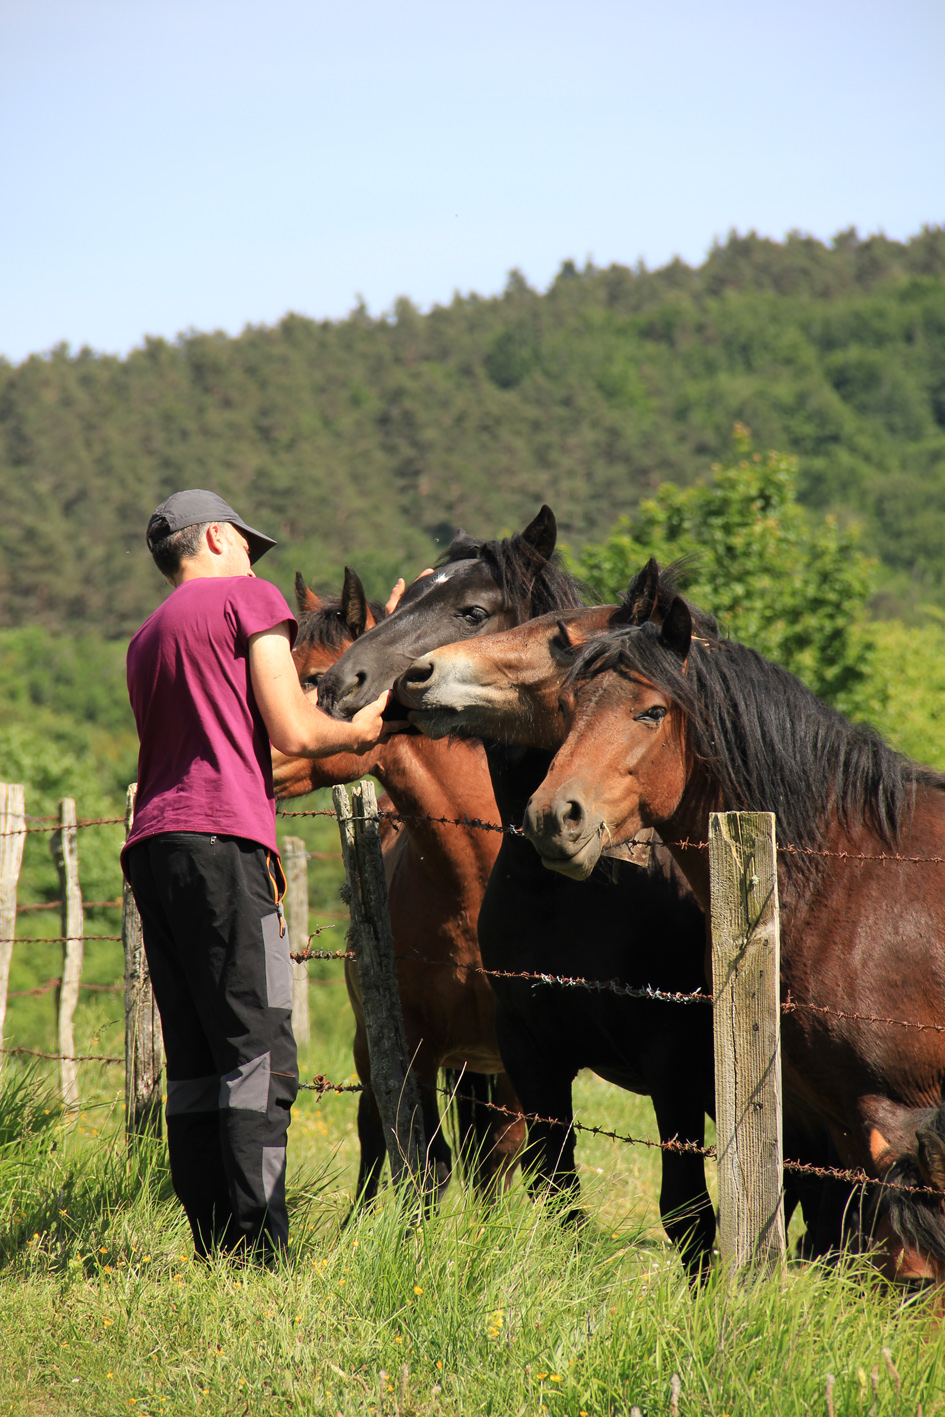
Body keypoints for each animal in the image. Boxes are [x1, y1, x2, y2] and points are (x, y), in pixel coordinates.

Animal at [273, 568, 525, 1208]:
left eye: (315, 678)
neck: (473, 884)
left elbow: (499, 1156)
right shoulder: (413, 1049)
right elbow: (426, 1161)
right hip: (374, 1044)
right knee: (375, 1130)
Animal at [318, 536, 723, 1278]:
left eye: (473, 610)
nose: (343, 683)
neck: (577, 896)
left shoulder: (670, 1060)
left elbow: (685, 1212)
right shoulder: (522, 1053)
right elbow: (547, 1188)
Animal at [521, 593, 945, 1285]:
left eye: (652, 711)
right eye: (570, 707)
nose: (553, 817)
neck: (853, 874)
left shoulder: (900, 1117)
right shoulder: (842, 1123)